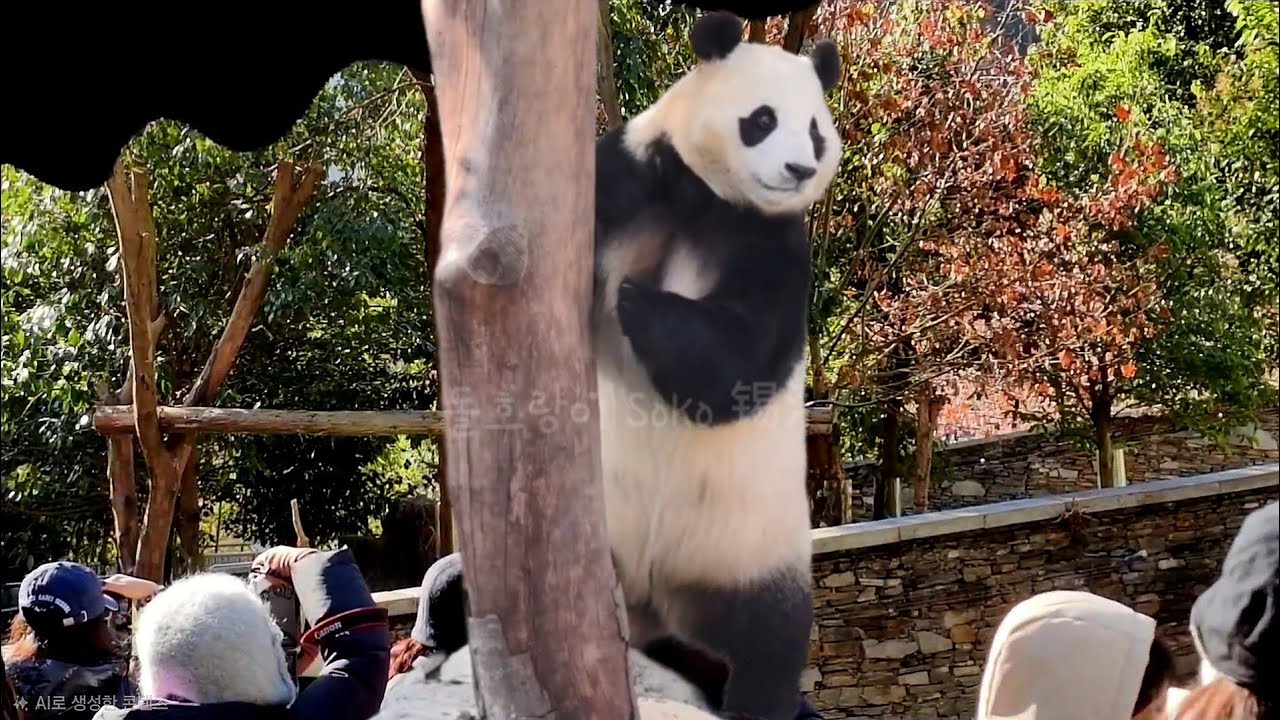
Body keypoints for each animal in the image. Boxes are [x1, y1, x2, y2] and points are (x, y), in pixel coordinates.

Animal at [591, 11, 842, 720]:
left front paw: (636, 300)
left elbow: (738, 366)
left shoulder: (776, 248)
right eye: (761, 118)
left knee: (769, 645)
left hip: (748, 554)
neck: (710, 199)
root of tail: (654, 598)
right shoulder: (629, 179)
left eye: (815, 128)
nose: (798, 167)